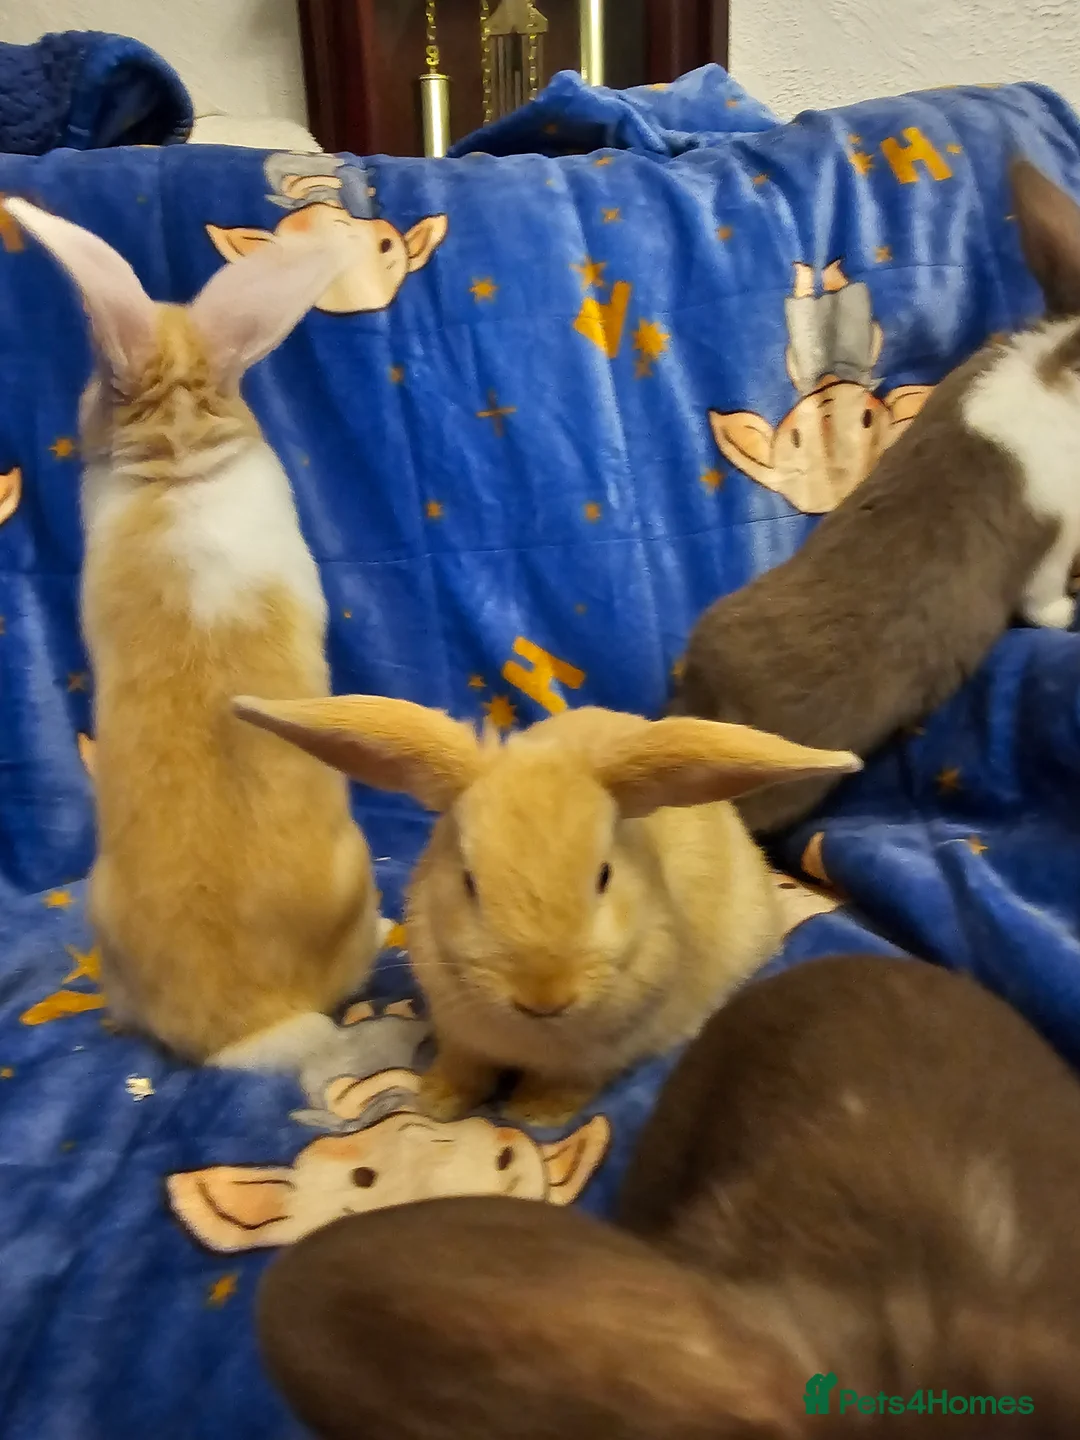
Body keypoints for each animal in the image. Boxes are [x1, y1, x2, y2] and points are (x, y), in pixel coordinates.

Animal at [232, 695, 860, 1124]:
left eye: (604, 876)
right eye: (469, 882)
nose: (544, 998)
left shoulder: (604, 1054)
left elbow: (571, 1084)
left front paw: (534, 1114)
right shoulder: (461, 1034)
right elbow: (463, 1067)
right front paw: (437, 1102)